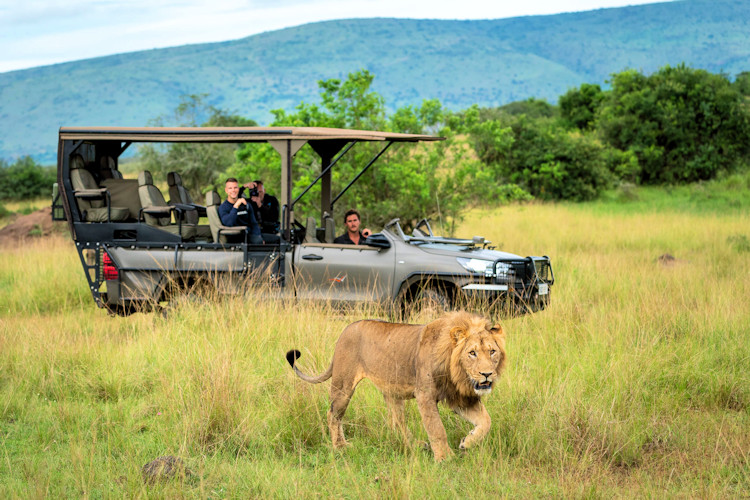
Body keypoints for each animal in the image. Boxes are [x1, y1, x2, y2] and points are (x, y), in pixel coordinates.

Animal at [285, 311, 506, 461]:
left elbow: (486, 421)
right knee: (333, 414)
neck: (457, 373)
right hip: (343, 384)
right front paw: (445, 458)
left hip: (392, 392)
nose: (487, 374)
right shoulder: (425, 395)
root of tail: (346, 328)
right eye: (472, 353)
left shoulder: (459, 397)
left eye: (492, 351)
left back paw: (414, 445)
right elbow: (437, 429)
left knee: (397, 422)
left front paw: (467, 442)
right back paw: (340, 446)